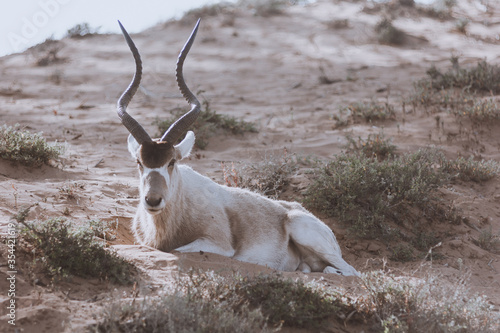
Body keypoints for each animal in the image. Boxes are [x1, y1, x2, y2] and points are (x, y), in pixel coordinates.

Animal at [117, 19, 360, 276]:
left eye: (171, 162)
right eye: (139, 162)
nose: (153, 200)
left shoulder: (219, 246)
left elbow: (176, 249)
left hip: (302, 229)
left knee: (351, 272)